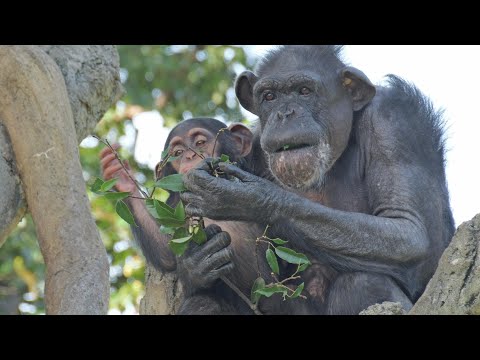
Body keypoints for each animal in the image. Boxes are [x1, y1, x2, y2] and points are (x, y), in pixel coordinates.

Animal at [180, 45, 454, 316]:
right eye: (269, 96)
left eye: (304, 91)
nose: (285, 113)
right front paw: (197, 261)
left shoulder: (394, 123)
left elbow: (410, 233)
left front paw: (247, 198)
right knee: (201, 303)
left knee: (364, 283)